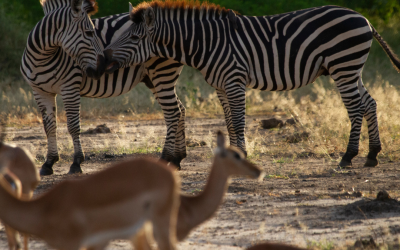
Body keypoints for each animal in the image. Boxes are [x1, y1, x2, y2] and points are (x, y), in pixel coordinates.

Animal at [20, 0, 186, 175]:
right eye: (88, 33)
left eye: (93, 32)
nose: (101, 68)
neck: (42, 58)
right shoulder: (40, 91)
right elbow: (49, 127)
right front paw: (49, 163)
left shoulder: (70, 87)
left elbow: (73, 126)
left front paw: (76, 162)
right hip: (153, 79)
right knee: (180, 109)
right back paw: (177, 158)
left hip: (162, 72)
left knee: (173, 112)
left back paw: (169, 158)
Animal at [104, 0, 400, 168]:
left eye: (133, 37)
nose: (104, 55)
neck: (208, 43)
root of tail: (364, 19)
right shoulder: (221, 86)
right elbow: (228, 122)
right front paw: (234, 155)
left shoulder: (234, 80)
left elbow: (237, 122)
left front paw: (242, 155)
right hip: (352, 69)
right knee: (369, 103)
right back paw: (372, 155)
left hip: (343, 66)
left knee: (355, 108)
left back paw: (348, 156)